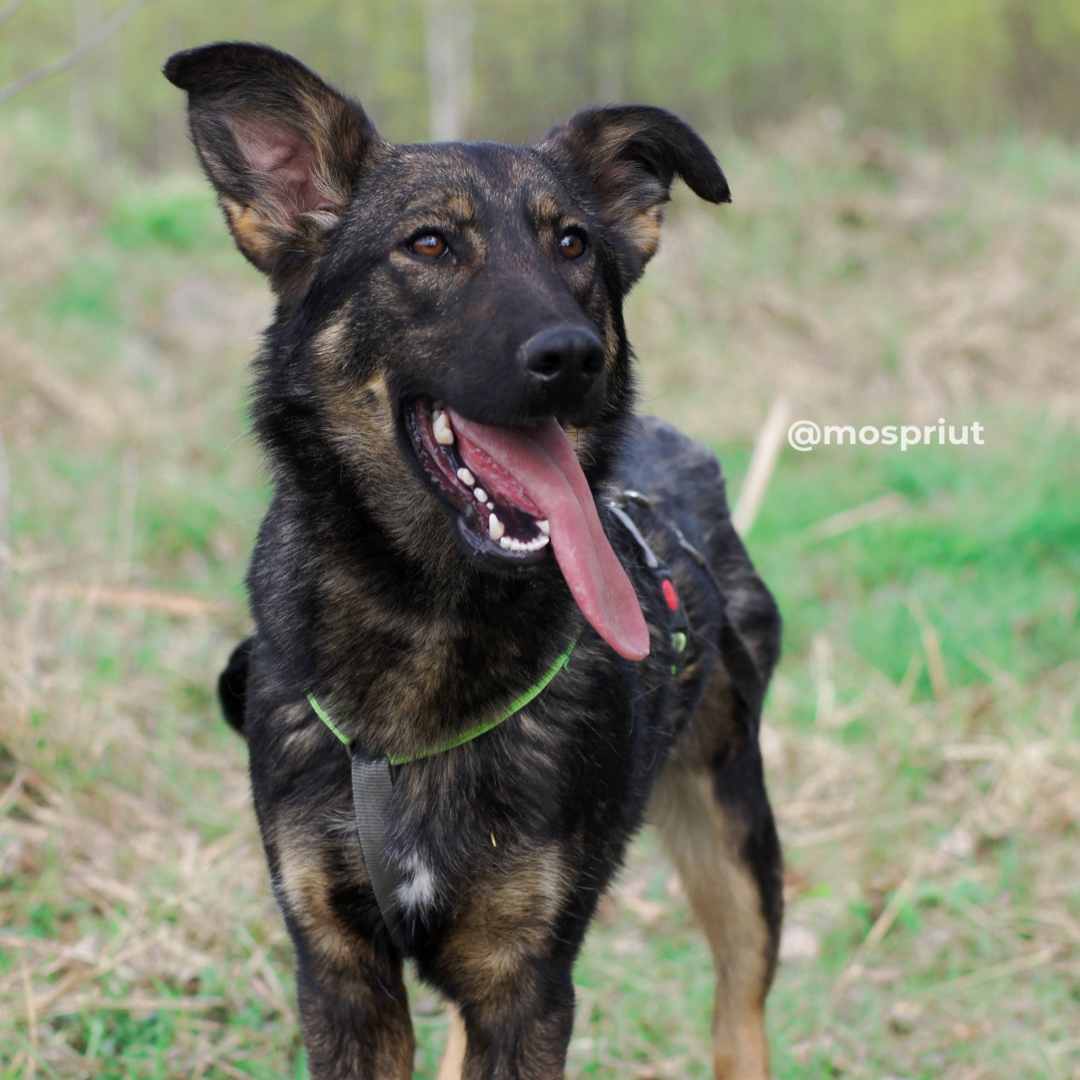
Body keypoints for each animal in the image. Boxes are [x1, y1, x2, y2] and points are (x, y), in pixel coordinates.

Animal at [162, 42, 786, 1080]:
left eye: (573, 245)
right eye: (428, 246)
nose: (572, 356)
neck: (425, 617)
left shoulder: (526, 983)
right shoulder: (342, 976)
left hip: (735, 831)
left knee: (740, 1009)